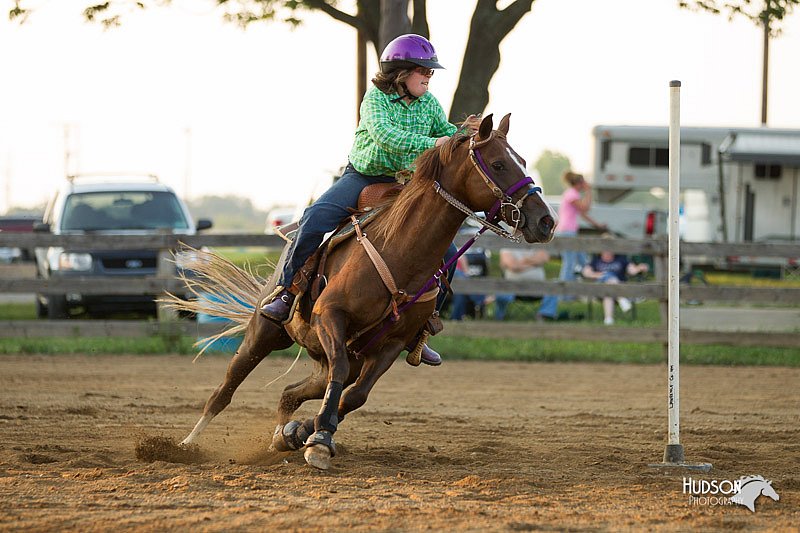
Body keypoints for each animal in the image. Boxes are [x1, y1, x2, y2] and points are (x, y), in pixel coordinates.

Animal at [167, 114, 556, 468]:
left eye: (522, 160)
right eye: (498, 163)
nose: (546, 221)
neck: (399, 250)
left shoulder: (392, 343)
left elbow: (354, 396)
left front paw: (310, 433)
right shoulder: (330, 316)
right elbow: (340, 380)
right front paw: (317, 439)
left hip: (333, 355)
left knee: (293, 392)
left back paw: (283, 435)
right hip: (265, 334)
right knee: (226, 389)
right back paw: (187, 444)